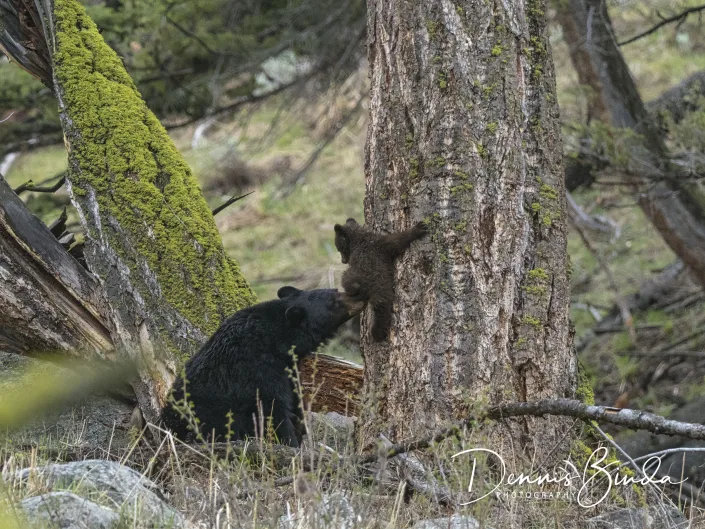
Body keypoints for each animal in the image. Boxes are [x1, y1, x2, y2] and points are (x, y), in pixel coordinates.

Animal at [160, 286, 362, 447]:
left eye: (335, 290)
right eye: (334, 301)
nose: (359, 295)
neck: (275, 339)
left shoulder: (287, 368)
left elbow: (294, 396)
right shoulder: (256, 368)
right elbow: (272, 407)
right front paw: (290, 442)